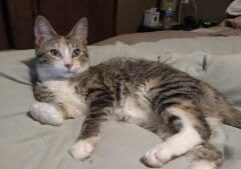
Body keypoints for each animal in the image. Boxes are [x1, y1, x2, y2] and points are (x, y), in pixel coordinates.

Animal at [30, 15, 241, 169]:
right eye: (54, 52)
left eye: (76, 52)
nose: (68, 64)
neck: (62, 81)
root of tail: (211, 91)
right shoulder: (69, 103)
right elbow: (49, 107)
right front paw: (49, 113)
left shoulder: (102, 93)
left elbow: (93, 118)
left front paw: (83, 144)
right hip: (165, 126)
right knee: (215, 151)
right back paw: (194, 162)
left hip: (166, 89)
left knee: (199, 128)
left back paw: (158, 153)